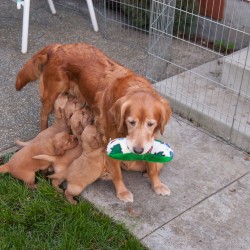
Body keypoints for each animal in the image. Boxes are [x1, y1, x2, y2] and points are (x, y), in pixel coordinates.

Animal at [15, 42, 172, 203]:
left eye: (151, 124)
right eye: (131, 122)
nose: (138, 151)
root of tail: (59, 46)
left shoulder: (149, 139)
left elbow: (153, 166)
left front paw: (157, 184)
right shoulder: (110, 141)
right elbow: (117, 172)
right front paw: (122, 192)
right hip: (51, 96)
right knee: (43, 115)